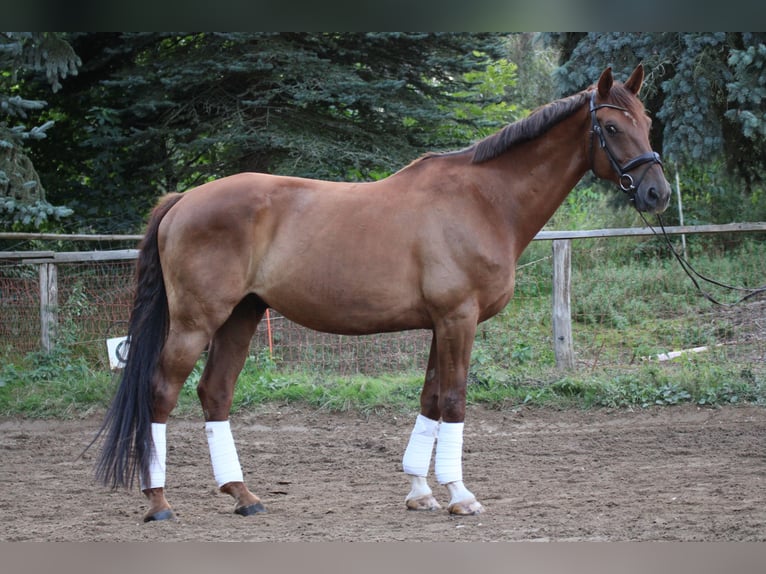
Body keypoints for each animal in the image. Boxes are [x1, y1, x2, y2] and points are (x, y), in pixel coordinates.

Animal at [93, 64, 672, 520]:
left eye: (646, 123)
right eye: (612, 126)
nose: (657, 193)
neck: (484, 200)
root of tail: (185, 198)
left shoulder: (441, 324)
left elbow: (431, 399)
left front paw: (420, 491)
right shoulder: (458, 319)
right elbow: (455, 401)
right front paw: (460, 495)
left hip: (242, 315)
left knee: (215, 393)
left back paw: (243, 496)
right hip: (196, 322)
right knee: (160, 393)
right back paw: (159, 503)